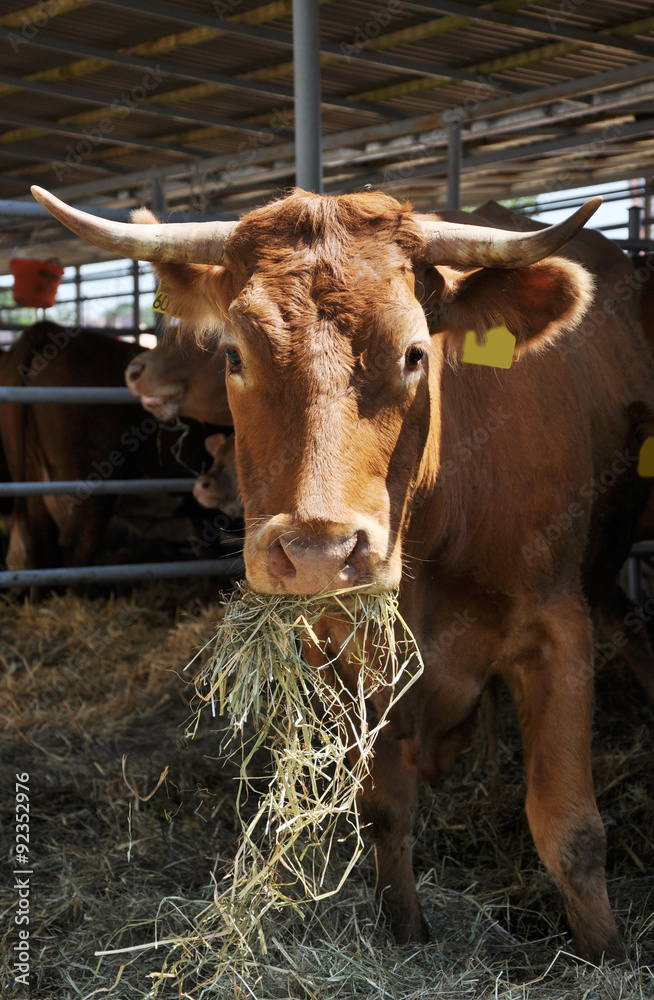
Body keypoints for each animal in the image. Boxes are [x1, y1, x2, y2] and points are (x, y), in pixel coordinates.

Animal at [31, 184, 654, 964]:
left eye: (415, 352)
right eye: (233, 353)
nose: (319, 554)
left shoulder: (557, 628)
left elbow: (570, 829)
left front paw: (606, 955)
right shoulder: (343, 651)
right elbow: (383, 808)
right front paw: (406, 933)